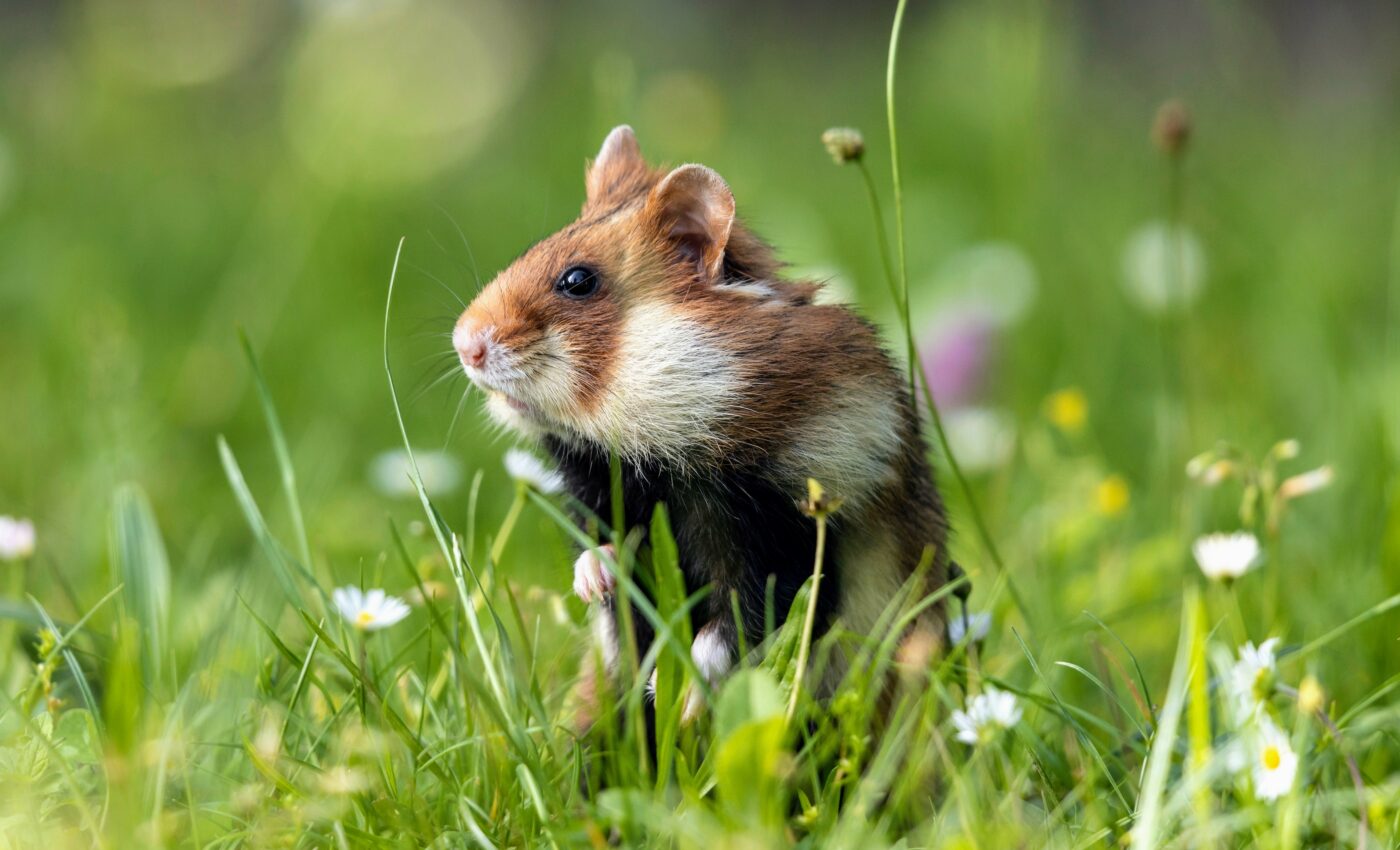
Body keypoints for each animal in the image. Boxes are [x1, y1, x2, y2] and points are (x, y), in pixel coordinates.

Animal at [454, 125, 951, 720]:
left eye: (577, 281)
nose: (464, 344)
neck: (665, 449)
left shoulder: (797, 528)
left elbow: (741, 620)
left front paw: (680, 697)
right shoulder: (602, 487)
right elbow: (604, 549)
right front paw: (596, 581)